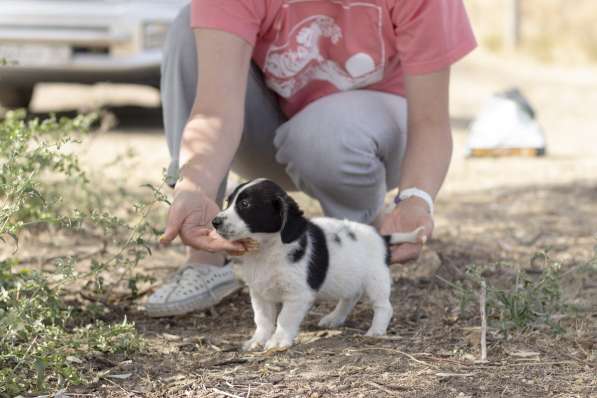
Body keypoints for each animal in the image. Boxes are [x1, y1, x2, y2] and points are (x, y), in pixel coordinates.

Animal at [212, 179, 422, 350]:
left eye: (245, 204)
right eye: (228, 202)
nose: (214, 221)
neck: (266, 250)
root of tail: (381, 237)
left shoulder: (297, 295)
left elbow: (284, 318)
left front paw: (278, 340)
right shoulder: (259, 293)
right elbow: (263, 319)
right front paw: (258, 340)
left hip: (376, 281)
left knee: (384, 307)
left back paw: (376, 330)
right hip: (350, 280)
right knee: (350, 298)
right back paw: (335, 318)